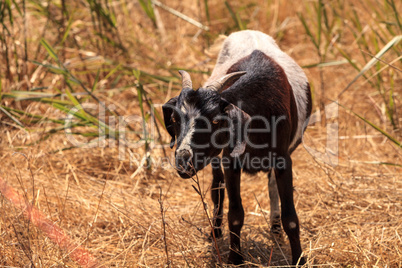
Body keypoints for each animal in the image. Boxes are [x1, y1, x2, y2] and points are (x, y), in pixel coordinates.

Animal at [162, 30, 312, 264]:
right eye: (175, 120)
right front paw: (235, 258)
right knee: (217, 189)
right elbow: (235, 214)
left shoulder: (283, 159)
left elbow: (291, 217)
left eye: (216, 121)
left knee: (271, 186)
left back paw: (275, 228)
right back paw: (215, 232)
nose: (184, 161)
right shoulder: (230, 161)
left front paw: (299, 259)